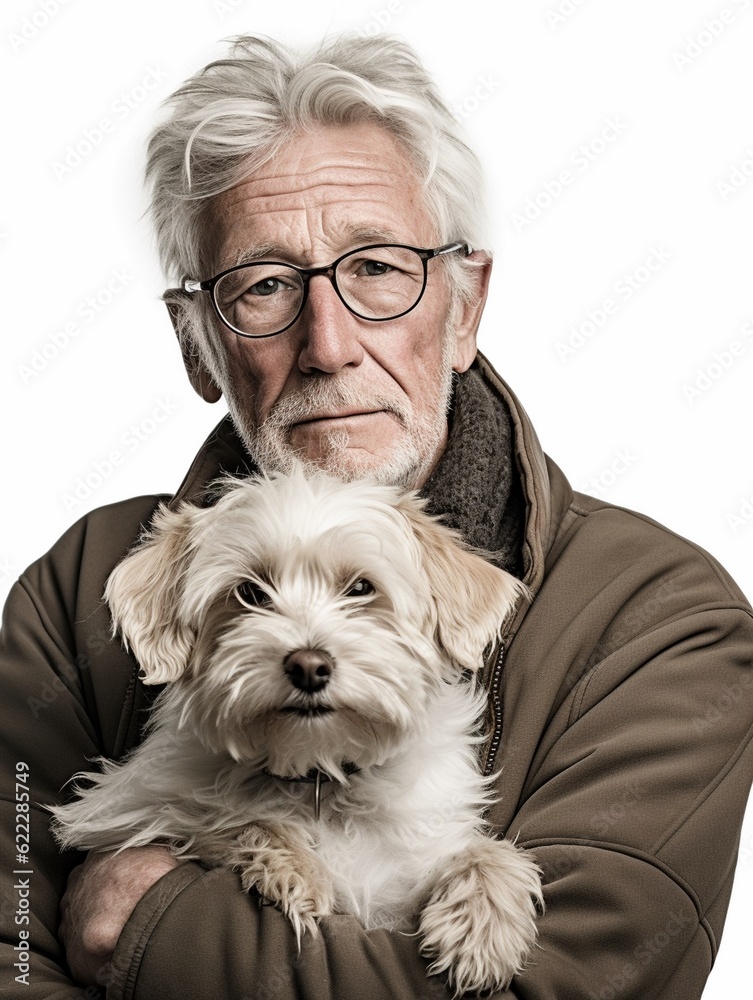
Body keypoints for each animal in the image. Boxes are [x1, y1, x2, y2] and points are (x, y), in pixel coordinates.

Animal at [51, 468, 540, 992]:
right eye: (250, 593)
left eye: (361, 587)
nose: (309, 665)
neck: (320, 773)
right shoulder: (129, 808)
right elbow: (218, 814)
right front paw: (295, 865)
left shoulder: (408, 872)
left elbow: (482, 854)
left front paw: (483, 925)